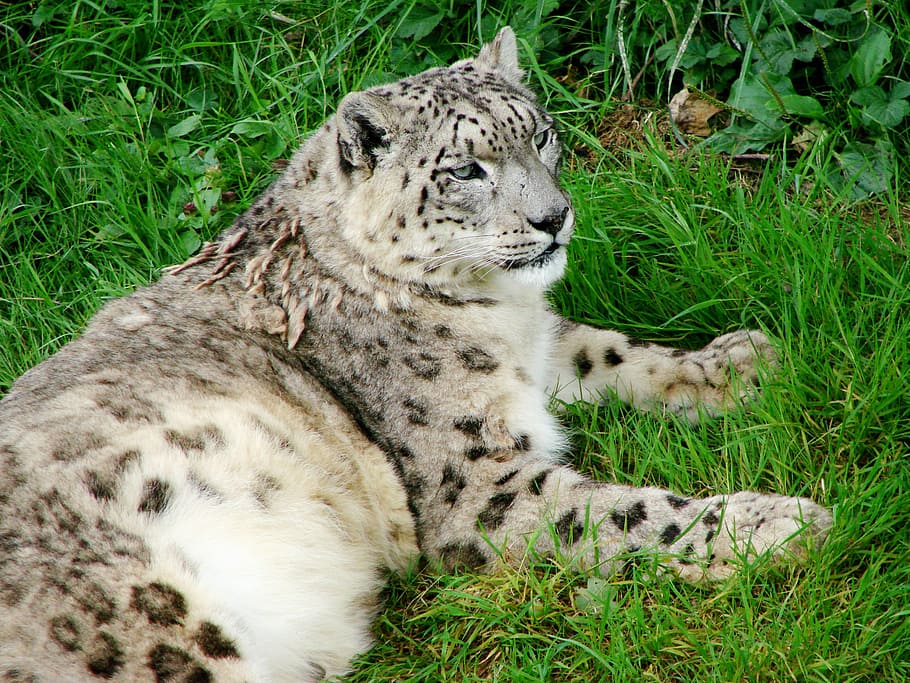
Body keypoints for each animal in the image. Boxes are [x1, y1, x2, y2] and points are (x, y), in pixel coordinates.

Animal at [0, 26, 832, 683]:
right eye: (464, 169)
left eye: (541, 133)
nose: (554, 216)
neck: (498, 316)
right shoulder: (476, 483)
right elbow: (623, 513)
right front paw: (777, 522)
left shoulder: (537, 355)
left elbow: (612, 351)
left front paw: (741, 363)